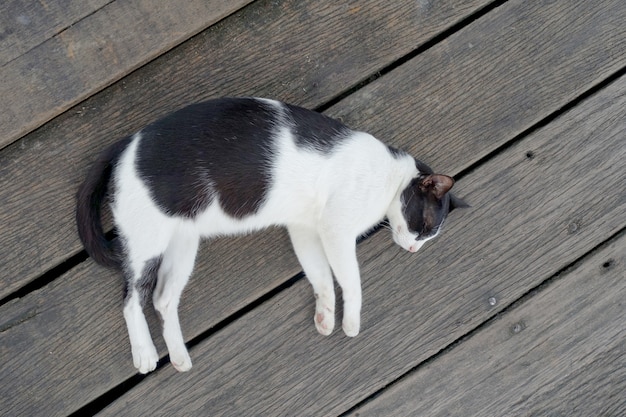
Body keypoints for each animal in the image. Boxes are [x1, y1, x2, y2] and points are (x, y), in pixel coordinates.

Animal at [75, 97, 466, 374]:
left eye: (429, 237)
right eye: (425, 226)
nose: (414, 248)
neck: (389, 179)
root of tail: (127, 143)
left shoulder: (305, 228)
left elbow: (321, 276)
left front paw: (326, 314)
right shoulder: (336, 229)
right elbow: (351, 281)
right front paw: (351, 321)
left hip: (182, 247)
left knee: (162, 299)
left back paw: (179, 356)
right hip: (148, 242)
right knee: (131, 298)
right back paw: (144, 352)